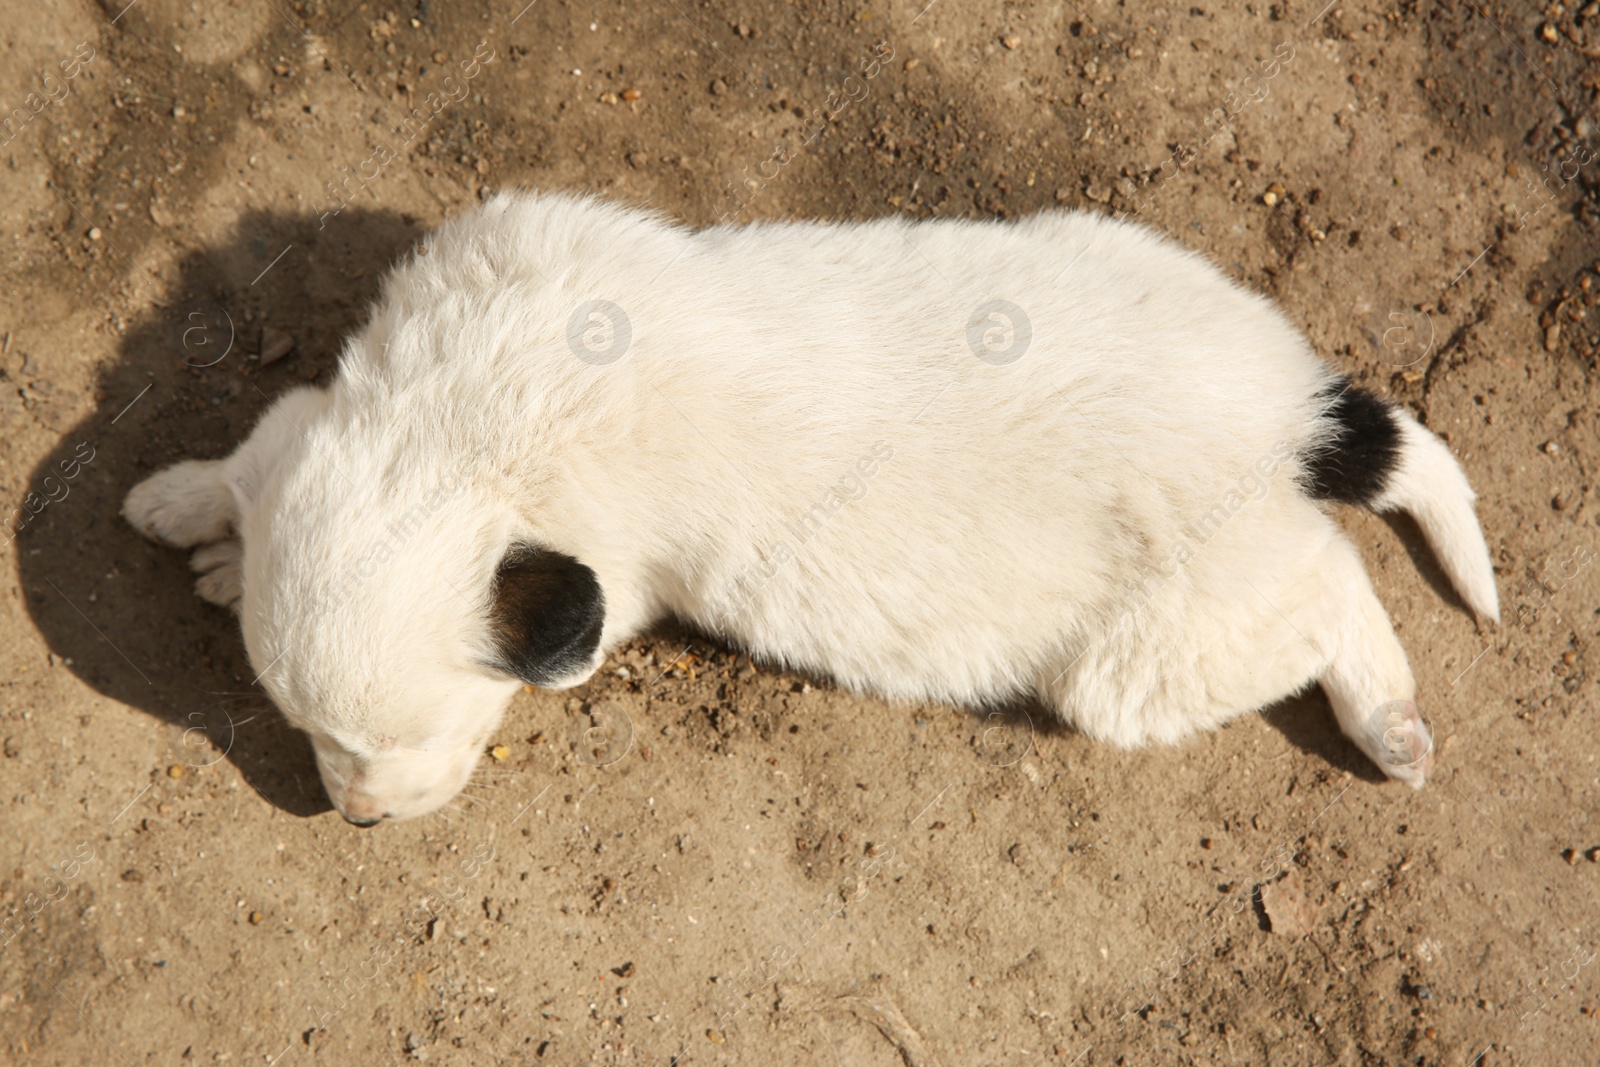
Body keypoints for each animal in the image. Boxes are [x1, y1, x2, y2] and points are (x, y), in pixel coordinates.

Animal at [124, 191, 1497, 825]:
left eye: (390, 741)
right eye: (307, 731)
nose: (350, 816)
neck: (476, 423)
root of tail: (1290, 425)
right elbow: (266, 439)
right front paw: (191, 510)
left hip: (1151, 656)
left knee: (1332, 591)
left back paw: (1388, 725)